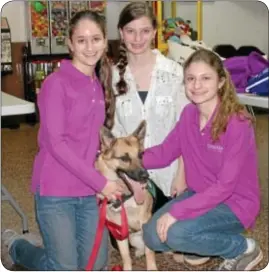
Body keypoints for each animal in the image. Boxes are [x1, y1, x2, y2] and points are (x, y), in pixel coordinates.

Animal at [95, 122, 157, 270]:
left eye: (140, 155)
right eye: (124, 158)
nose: (145, 176)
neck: (125, 197)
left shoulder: (145, 223)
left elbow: (150, 253)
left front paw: (152, 267)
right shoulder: (119, 231)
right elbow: (125, 256)